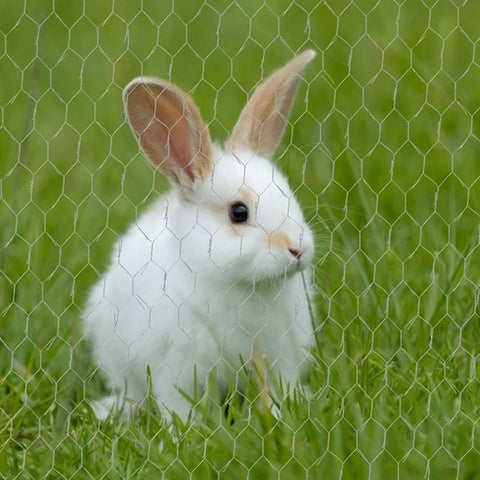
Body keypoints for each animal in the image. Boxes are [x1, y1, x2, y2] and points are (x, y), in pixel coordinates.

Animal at [85, 50, 318, 422]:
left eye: (288, 194)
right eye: (239, 213)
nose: (298, 250)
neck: (241, 285)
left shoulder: (280, 355)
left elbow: (279, 389)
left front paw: (286, 413)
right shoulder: (174, 364)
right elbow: (177, 404)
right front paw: (185, 431)